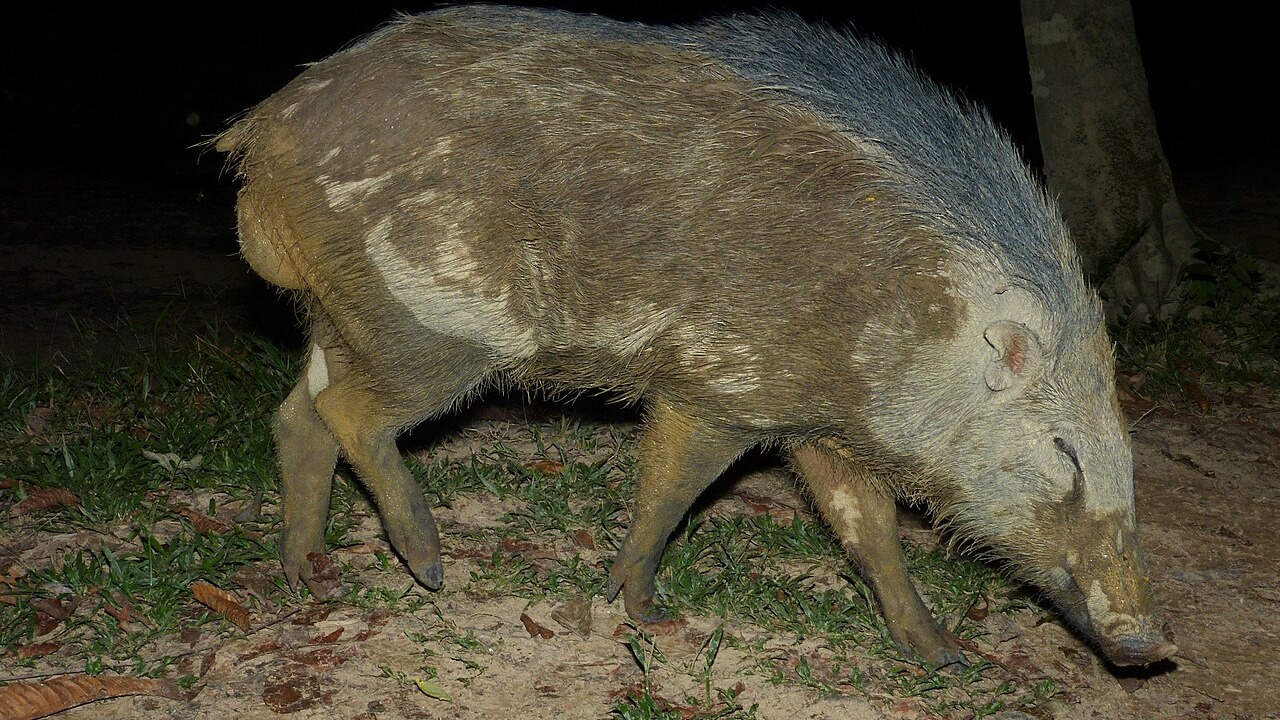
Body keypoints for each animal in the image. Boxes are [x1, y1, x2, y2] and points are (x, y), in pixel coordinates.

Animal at [216, 5, 1176, 668]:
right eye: (1064, 450)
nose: (1149, 644)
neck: (912, 324)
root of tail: (258, 135)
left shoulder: (817, 423)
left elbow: (867, 532)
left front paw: (944, 658)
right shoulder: (723, 384)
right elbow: (673, 491)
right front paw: (647, 613)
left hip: (341, 318)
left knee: (295, 417)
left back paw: (307, 570)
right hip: (431, 328)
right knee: (350, 415)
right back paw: (427, 566)